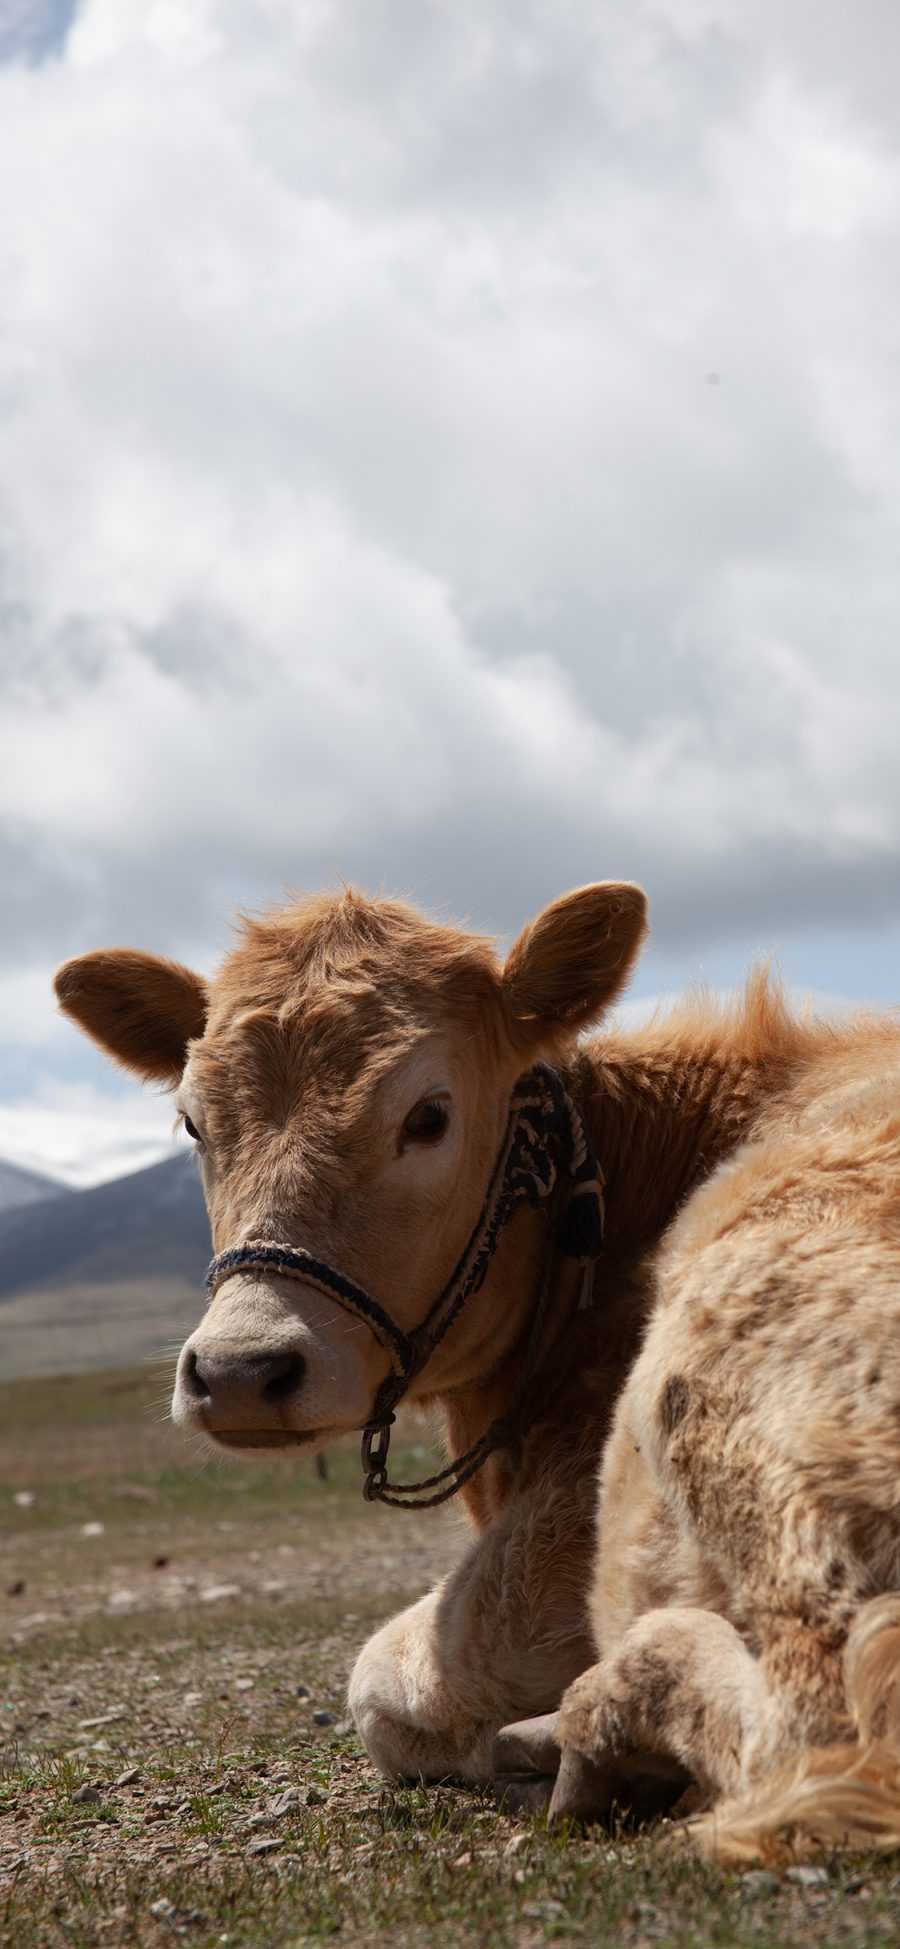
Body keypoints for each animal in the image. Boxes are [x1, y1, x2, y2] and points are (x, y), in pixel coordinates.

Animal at [56, 884, 892, 1855]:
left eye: (429, 1116)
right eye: (194, 1122)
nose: (238, 1370)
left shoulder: (555, 1545)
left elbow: (379, 1685)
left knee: (820, 1730)